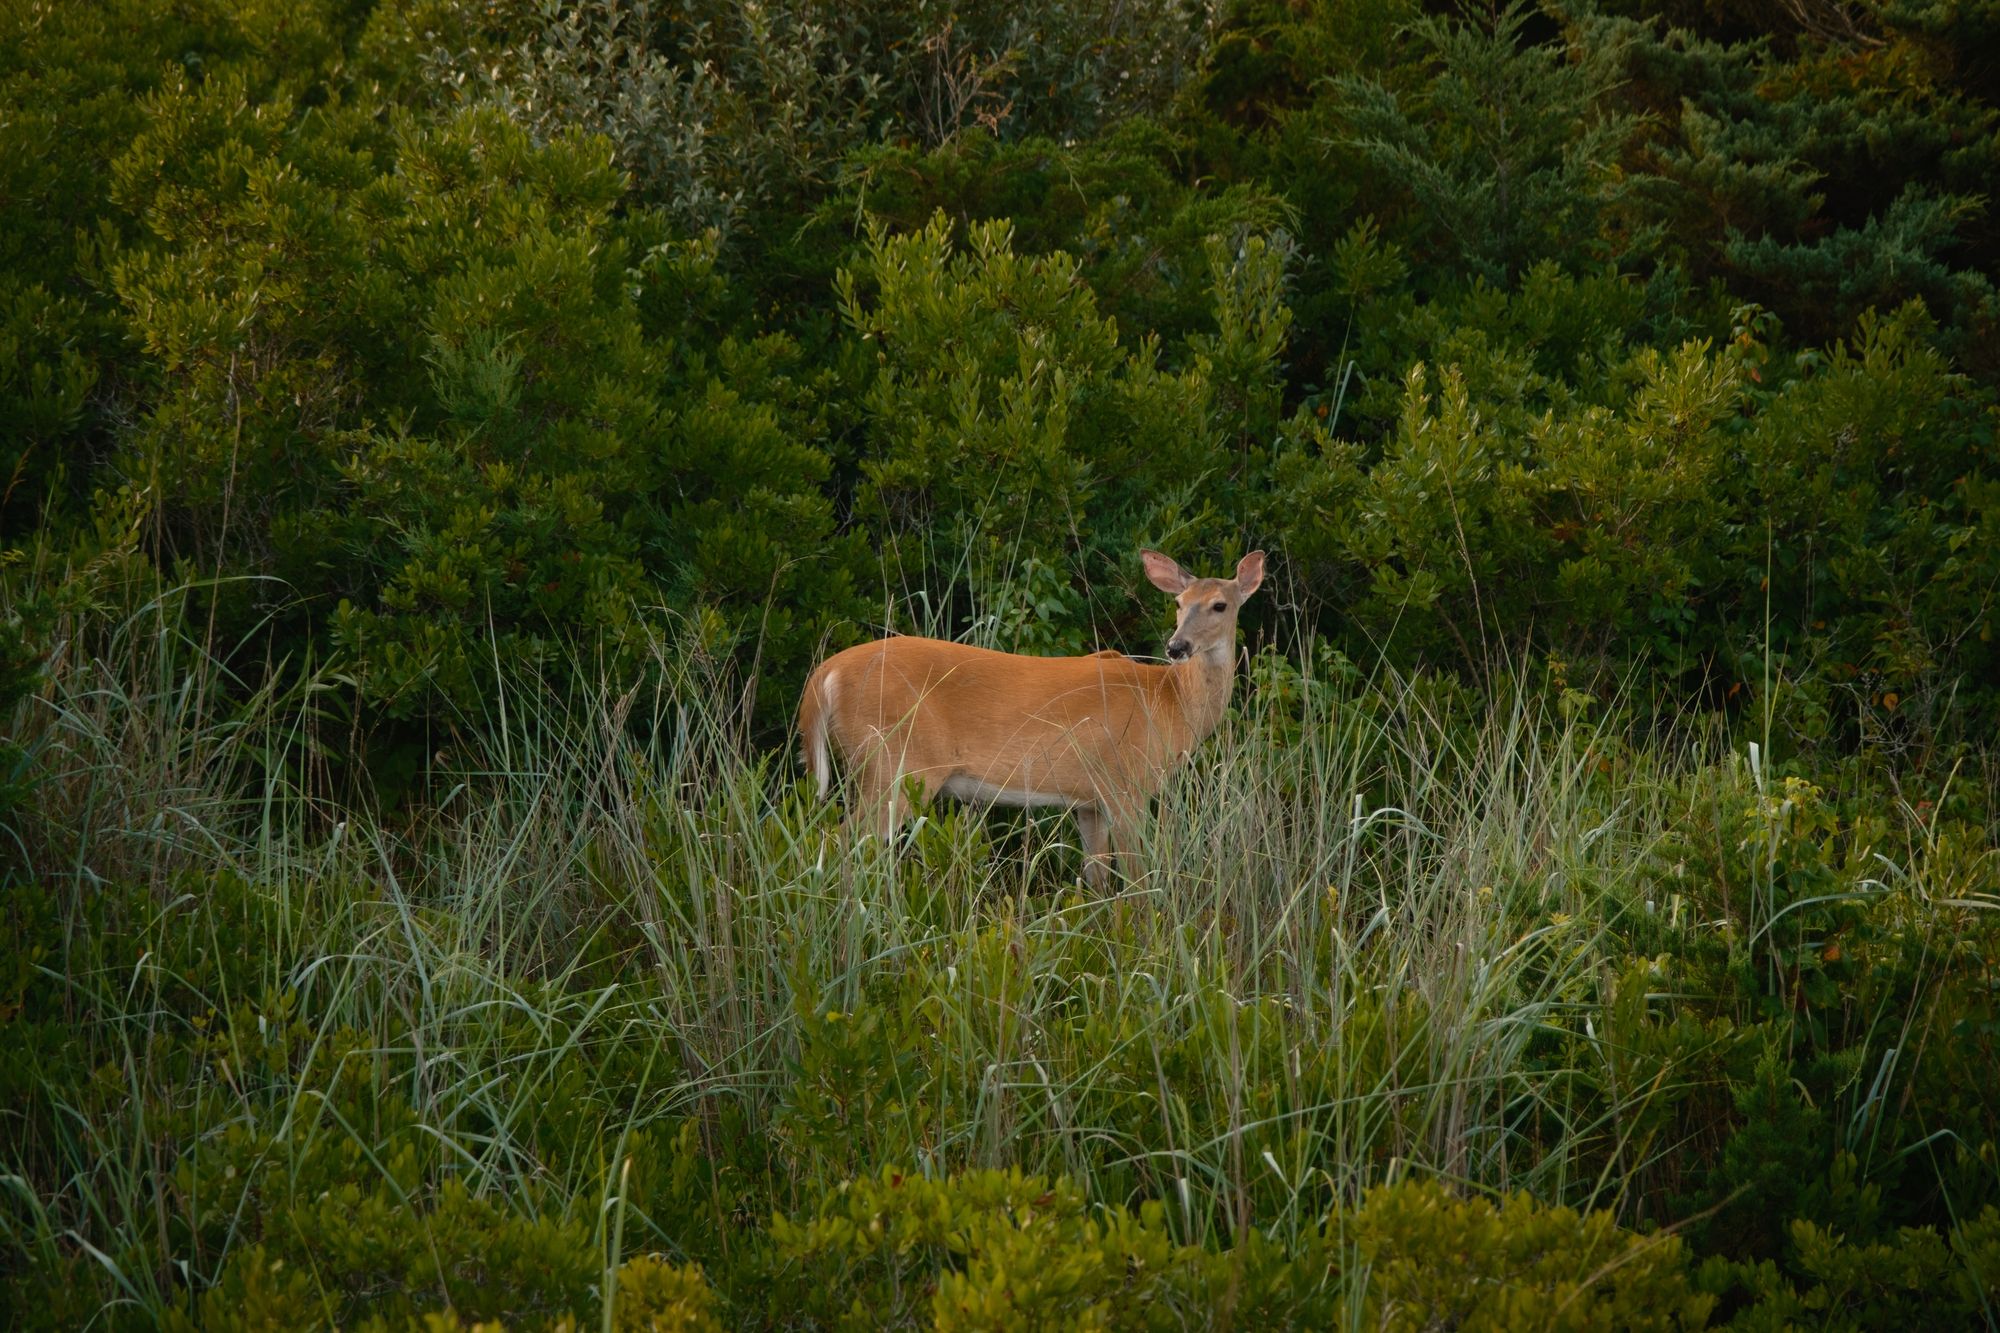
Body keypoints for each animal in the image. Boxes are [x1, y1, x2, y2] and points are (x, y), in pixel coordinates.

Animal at [797, 549, 1265, 885]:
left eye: (1220, 605)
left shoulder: (1088, 800)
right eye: (1179, 603)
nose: (1176, 646)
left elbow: (1096, 877)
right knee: (840, 842)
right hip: (896, 762)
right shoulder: (1125, 783)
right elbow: (1134, 878)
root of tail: (823, 676)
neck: (1169, 703)